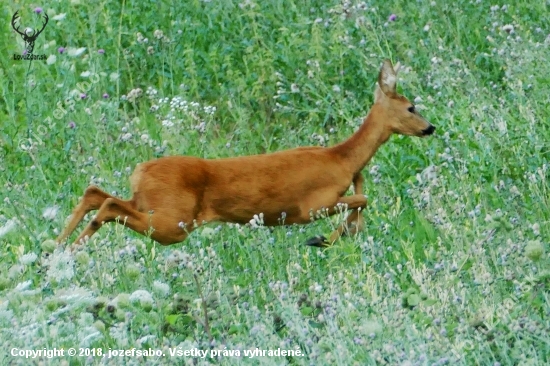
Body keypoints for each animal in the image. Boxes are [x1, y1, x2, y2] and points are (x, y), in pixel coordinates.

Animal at [56, 60, 436, 249]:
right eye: (411, 107)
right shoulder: (311, 205)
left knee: (95, 193)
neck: (341, 158)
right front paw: (322, 240)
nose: (430, 127)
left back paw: (56, 249)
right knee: (108, 205)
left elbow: (361, 197)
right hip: (173, 222)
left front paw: (335, 238)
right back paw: (69, 249)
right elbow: (363, 199)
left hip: (153, 205)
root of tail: (139, 170)